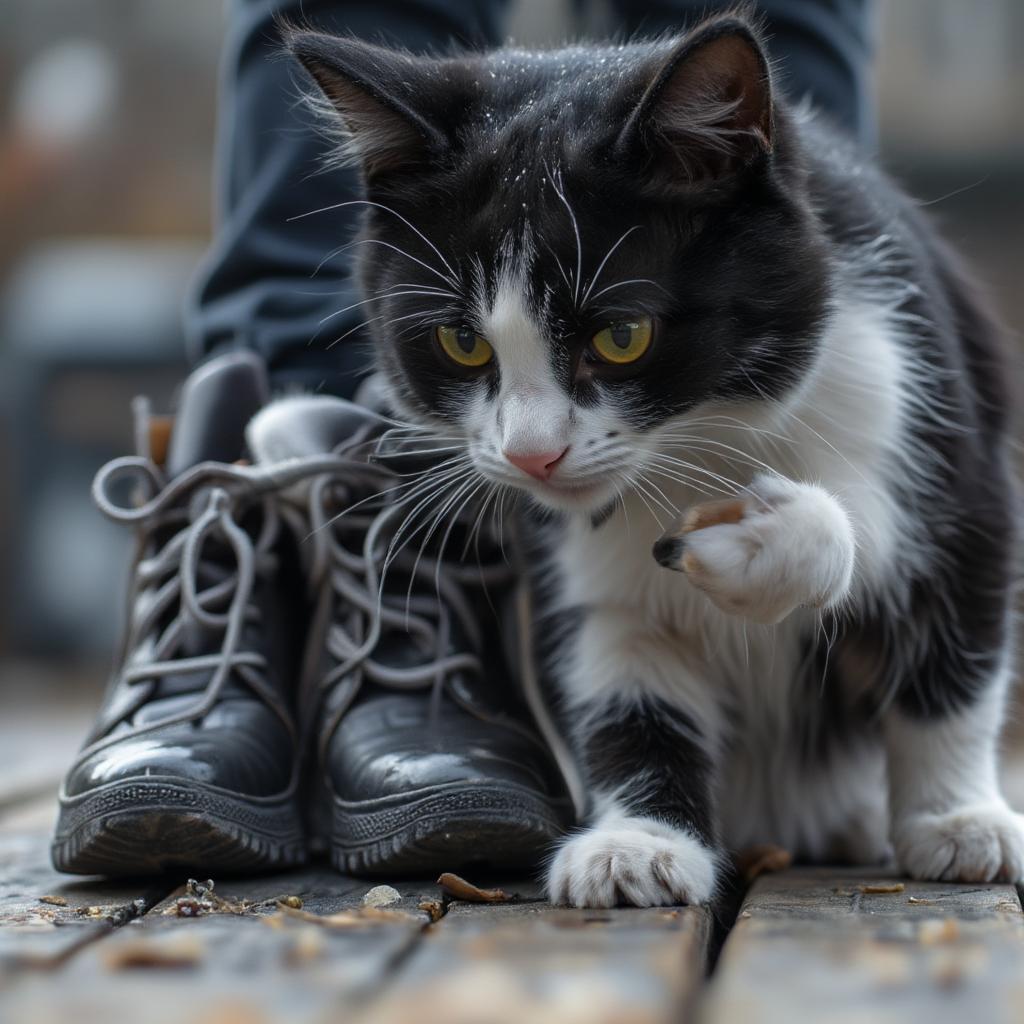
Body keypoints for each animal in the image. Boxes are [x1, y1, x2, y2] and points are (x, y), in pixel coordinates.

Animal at [282, 12, 1024, 909]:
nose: (533, 454)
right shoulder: (579, 557)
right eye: (461, 341)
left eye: (622, 335)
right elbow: (624, 680)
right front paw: (638, 843)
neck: (703, 431)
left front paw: (958, 820)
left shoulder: (925, 407)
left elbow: (945, 625)